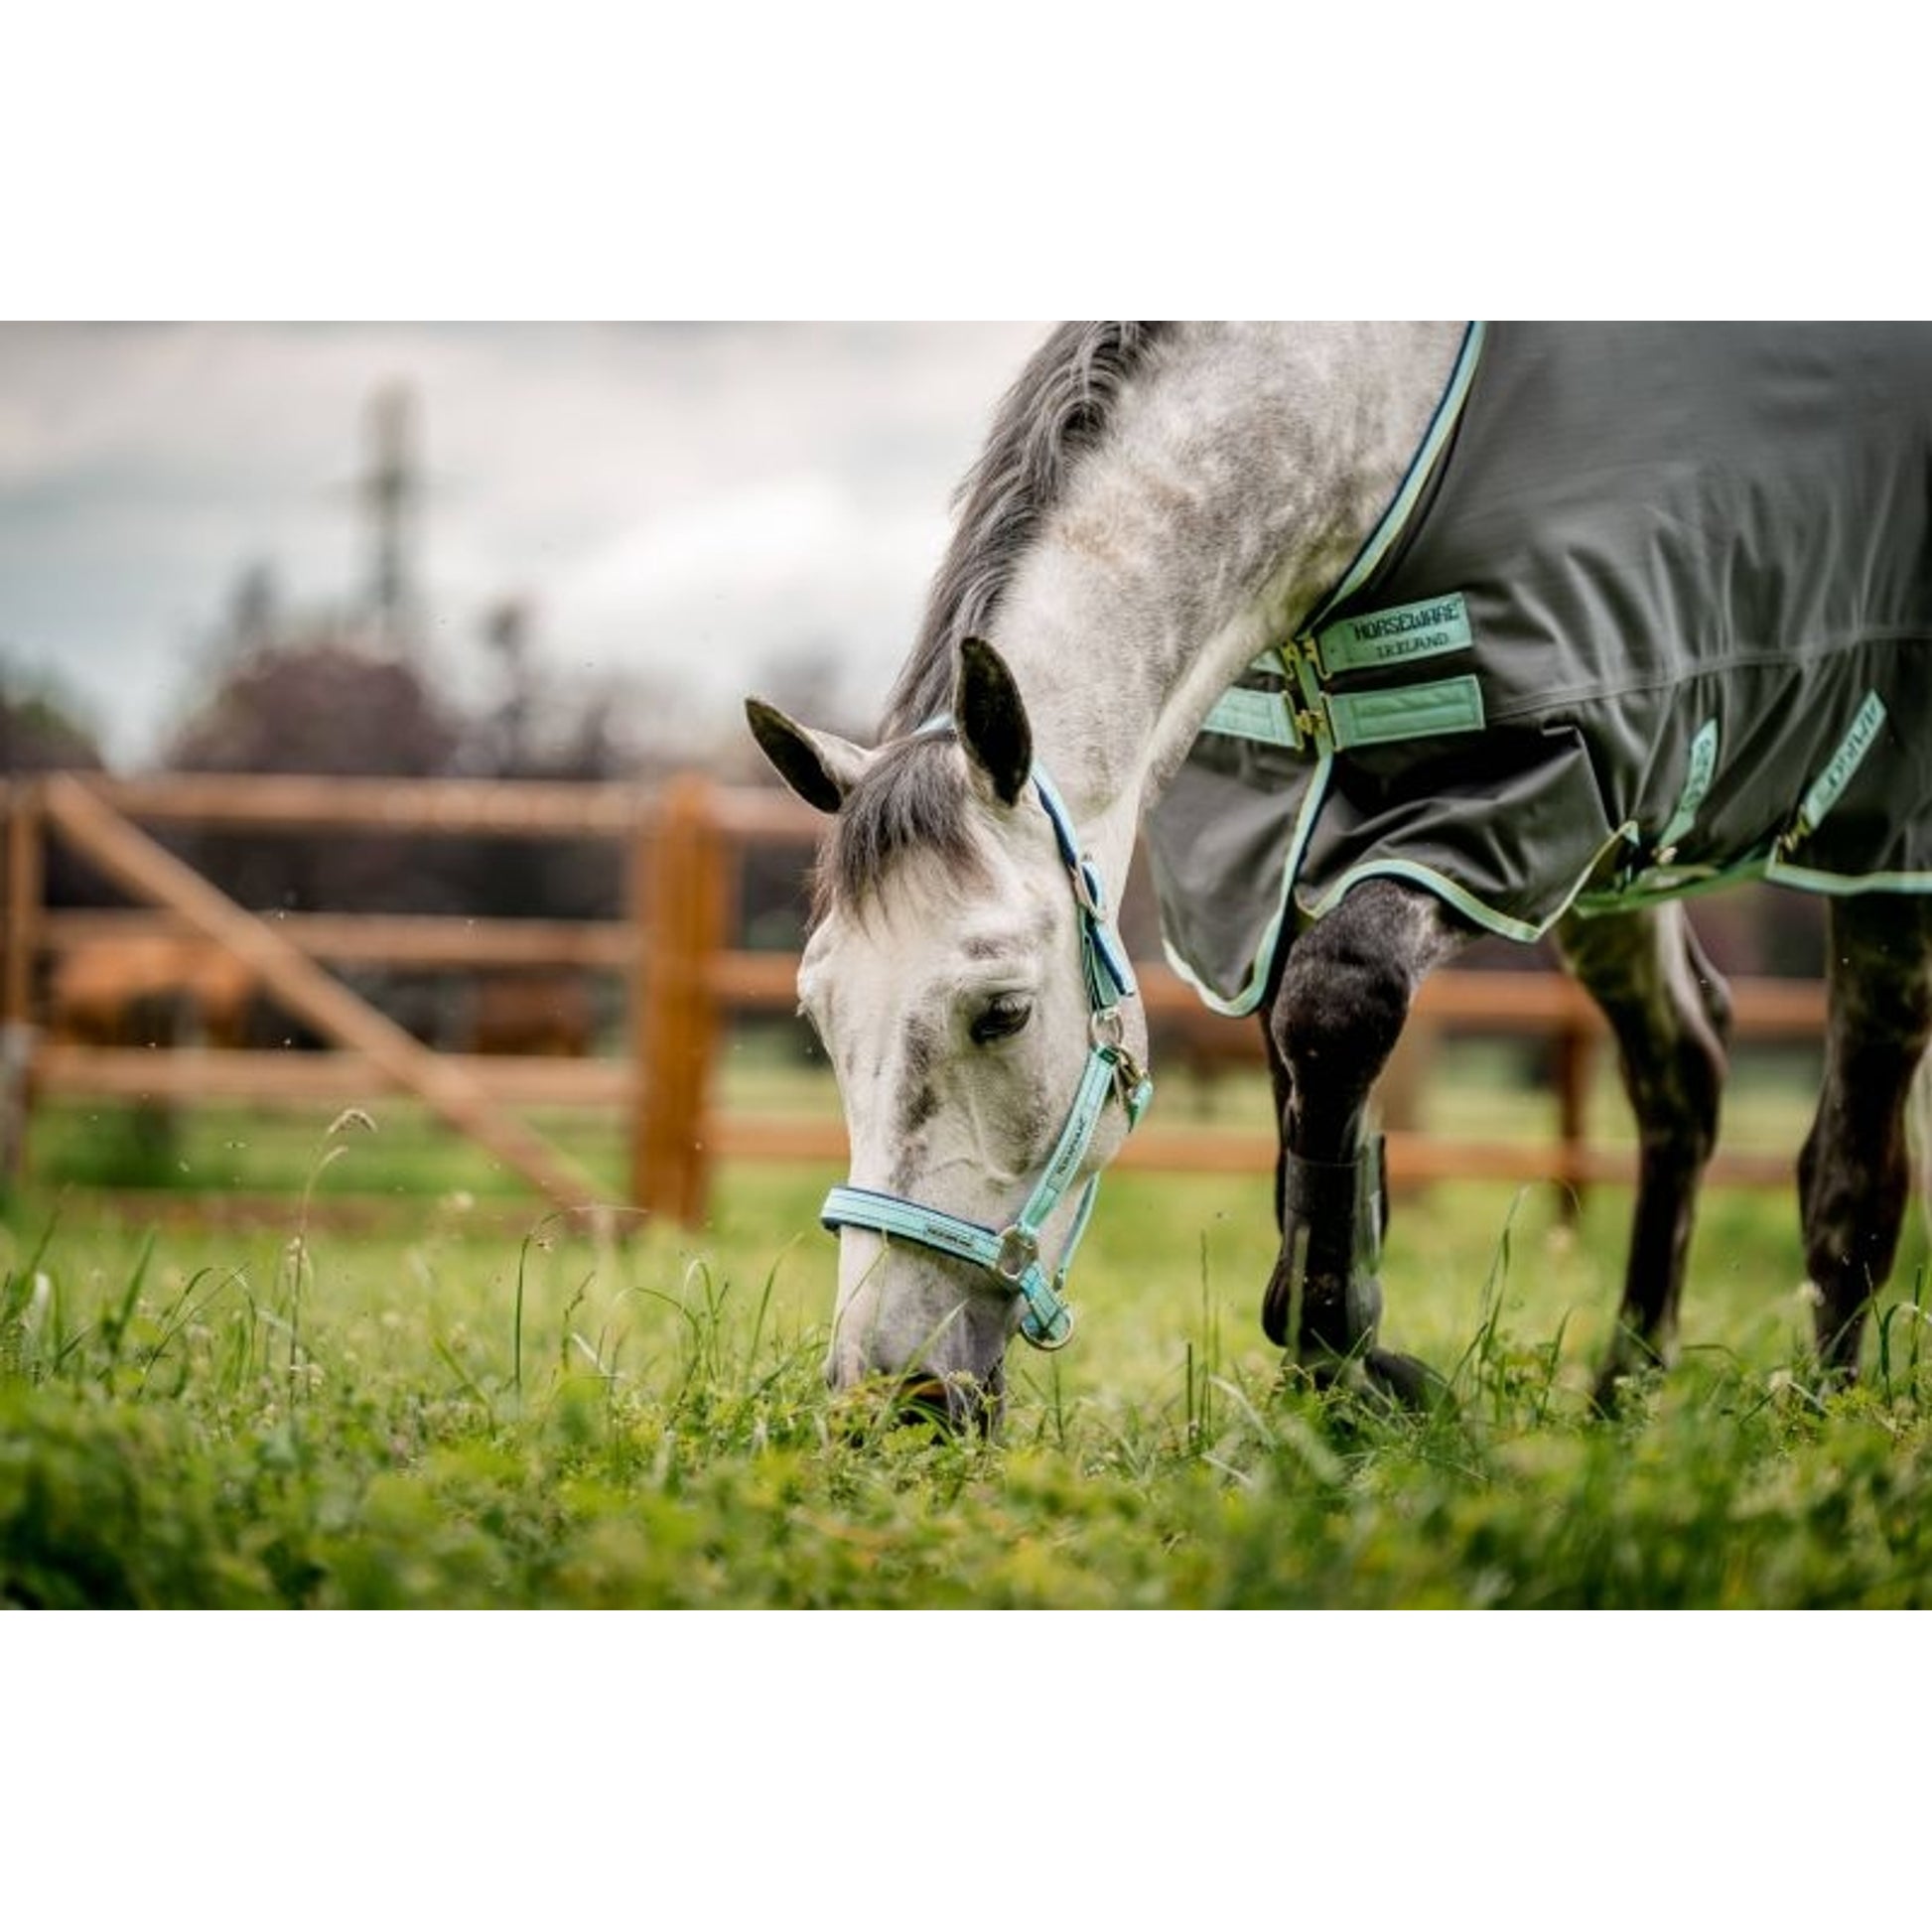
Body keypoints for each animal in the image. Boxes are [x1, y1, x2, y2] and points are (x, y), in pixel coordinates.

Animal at [747, 321, 1932, 1428]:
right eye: (818, 1020)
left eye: (1000, 1013)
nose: (888, 1398)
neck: (1374, 420)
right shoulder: (1271, 850)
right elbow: (1305, 1091)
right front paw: (1341, 1375)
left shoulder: (1531, 787)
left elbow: (1336, 1001)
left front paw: (1333, 1343)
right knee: (1684, 1069)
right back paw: (1619, 1398)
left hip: (1875, 851)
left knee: (1849, 1164)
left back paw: (1827, 1411)